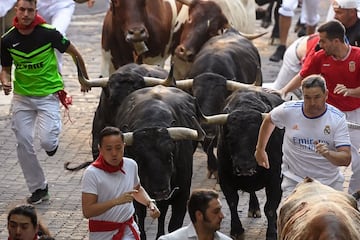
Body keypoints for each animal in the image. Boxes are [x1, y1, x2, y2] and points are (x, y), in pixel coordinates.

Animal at [217, 90, 284, 240]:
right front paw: (236, 229)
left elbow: (270, 208)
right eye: (230, 137)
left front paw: (272, 233)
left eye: (258, 137)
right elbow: (232, 202)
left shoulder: (276, 179)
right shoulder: (224, 177)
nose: (244, 167)